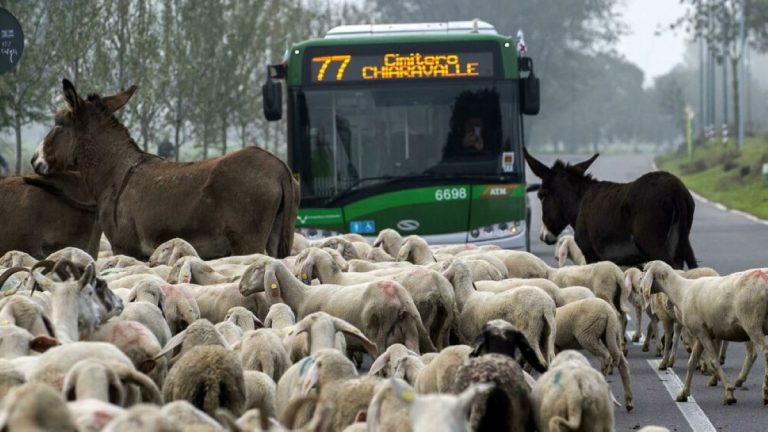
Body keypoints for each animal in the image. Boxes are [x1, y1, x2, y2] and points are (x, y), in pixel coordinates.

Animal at [239, 258, 435, 354]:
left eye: (257, 268)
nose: (240, 287)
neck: (301, 296)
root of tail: (401, 297)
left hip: (378, 332)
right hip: (409, 329)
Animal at [641, 260, 768, 405]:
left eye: (644, 270)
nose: (640, 288)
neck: (681, 291)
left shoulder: (702, 333)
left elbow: (713, 360)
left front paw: (729, 393)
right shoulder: (700, 333)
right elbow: (692, 361)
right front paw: (683, 393)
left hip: (751, 322)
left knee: (764, 351)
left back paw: (765, 391)